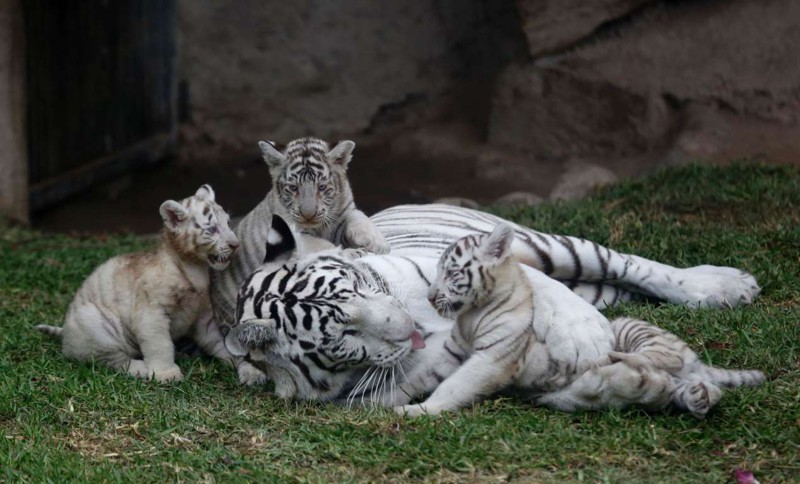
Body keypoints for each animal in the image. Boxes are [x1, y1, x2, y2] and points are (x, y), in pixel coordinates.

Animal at [36, 185, 241, 382]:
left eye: (228, 223)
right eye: (212, 229)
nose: (236, 244)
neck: (195, 266)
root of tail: (66, 335)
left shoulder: (202, 314)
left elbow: (217, 339)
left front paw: (235, 360)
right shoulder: (152, 311)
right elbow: (160, 344)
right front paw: (166, 374)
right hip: (98, 328)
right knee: (115, 360)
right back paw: (142, 369)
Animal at [390, 223, 764, 416]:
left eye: (452, 273)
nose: (429, 297)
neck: (472, 312)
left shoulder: (494, 357)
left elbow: (457, 384)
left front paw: (419, 411)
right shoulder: (452, 350)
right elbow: (421, 376)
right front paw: (387, 402)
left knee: (637, 273)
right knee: (674, 383)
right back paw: (693, 393)